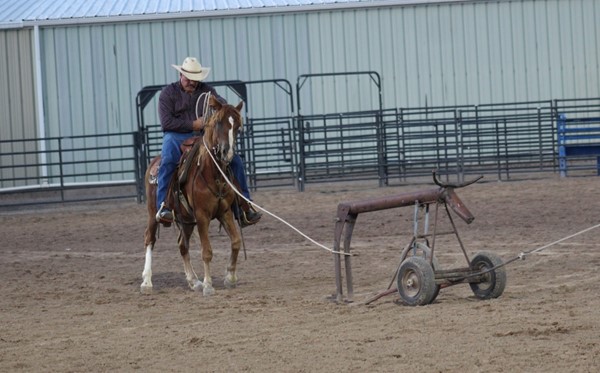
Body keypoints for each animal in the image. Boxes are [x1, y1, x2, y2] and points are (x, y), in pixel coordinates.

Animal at [141, 96, 244, 296]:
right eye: (218, 123)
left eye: (237, 126)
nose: (226, 152)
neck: (212, 173)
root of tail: (154, 162)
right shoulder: (202, 216)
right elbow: (207, 251)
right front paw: (208, 285)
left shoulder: (224, 212)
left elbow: (235, 242)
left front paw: (230, 277)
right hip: (152, 212)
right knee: (150, 239)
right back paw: (147, 281)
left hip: (186, 220)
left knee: (182, 245)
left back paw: (193, 281)